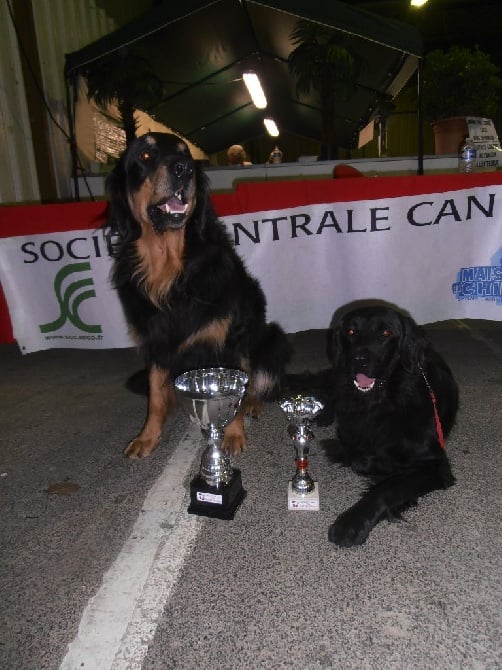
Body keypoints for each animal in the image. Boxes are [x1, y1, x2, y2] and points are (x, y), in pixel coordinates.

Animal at [105, 134, 290, 460]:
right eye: (145, 154)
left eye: (186, 154)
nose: (183, 169)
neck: (170, 269)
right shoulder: (157, 342)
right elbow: (155, 395)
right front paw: (147, 437)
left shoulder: (229, 340)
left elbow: (238, 390)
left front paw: (233, 435)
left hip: (272, 337)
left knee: (256, 382)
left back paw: (252, 404)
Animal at [320, 308, 456, 548]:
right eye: (351, 331)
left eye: (385, 332)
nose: (359, 359)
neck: (381, 402)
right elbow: (357, 454)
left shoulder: (436, 465)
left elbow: (387, 487)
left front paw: (351, 523)